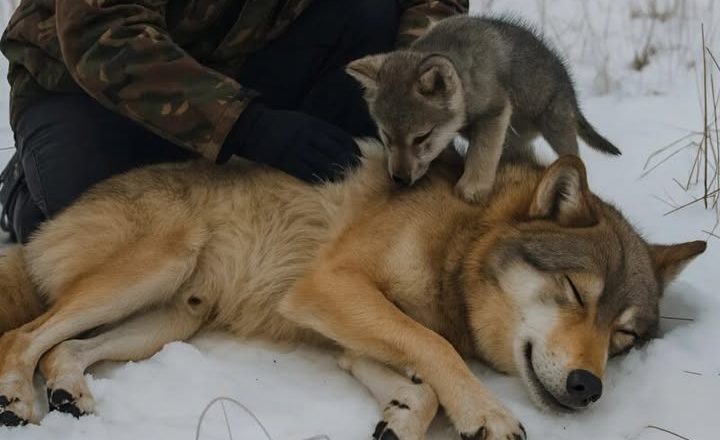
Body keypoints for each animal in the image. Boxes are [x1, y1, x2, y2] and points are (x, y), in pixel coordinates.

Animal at [0, 141, 705, 440]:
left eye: (624, 336)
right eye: (575, 292)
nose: (588, 388)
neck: (458, 241)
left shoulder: (351, 336)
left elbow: (424, 377)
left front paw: (403, 416)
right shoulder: (329, 289)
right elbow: (439, 352)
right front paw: (489, 416)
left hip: (173, 319)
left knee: (62, 350)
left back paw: (69, 392)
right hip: (155, 269)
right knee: (23, 337)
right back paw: (18, 400)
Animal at [347, 16, 621, 203]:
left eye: (421, 137)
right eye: (386, 135)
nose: (400, 179)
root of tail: (572, 92)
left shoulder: (495, 112)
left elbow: (481, 154)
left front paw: (471, 189)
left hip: (557, 129)